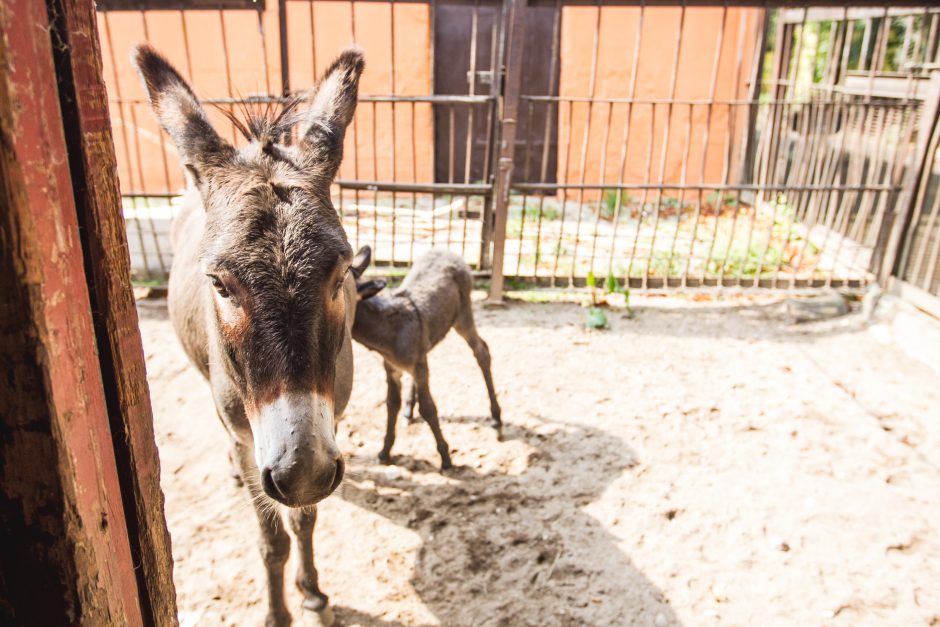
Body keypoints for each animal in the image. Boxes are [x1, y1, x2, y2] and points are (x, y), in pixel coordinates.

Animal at [350, 248, 500, 468]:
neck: (388, 331)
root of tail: (448, 251)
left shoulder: (418, 366)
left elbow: (428, 408)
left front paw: (445, 458)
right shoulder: (391, 368)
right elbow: (391, 404)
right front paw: (385, 452)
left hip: (463, 316)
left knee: (482, 351)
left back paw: (496, 416)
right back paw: (408, 409)